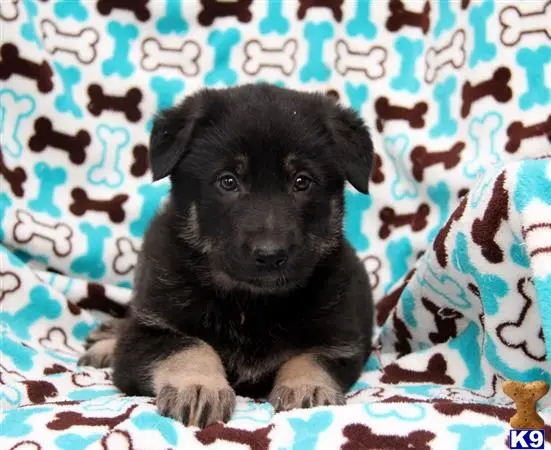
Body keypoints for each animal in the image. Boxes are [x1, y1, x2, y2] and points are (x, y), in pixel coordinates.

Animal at [79, 83, 374, 428]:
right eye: (228, 181)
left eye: (302, 182)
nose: (270, 255)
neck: (249, 304)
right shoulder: (144, 337)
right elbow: (188, 345)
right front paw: (197, 387)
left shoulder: (341, 344)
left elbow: (309, 357)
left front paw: (308, 388)